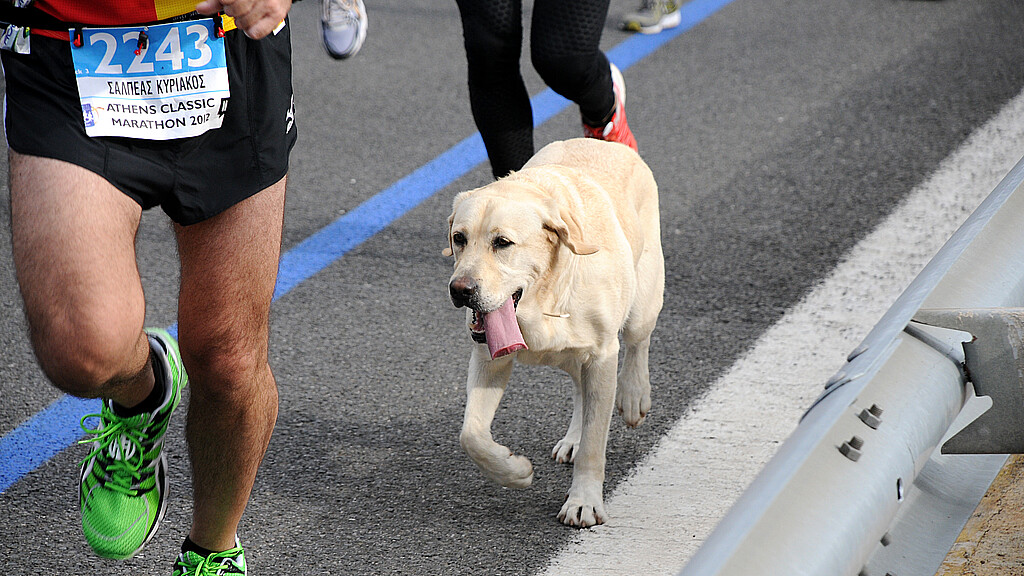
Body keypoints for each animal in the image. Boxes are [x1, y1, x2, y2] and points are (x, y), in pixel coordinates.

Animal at [444, 138, 667, 524]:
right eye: (459, 238)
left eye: (502, 243)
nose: (460, 290)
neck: (543, 299)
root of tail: (610, 143)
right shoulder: (490, 358)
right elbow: (471, 435)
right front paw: (514, 471)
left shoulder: (603, 354)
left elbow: (595, 442)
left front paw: (583, 502)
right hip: (572, 356)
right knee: (582, 391)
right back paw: (574, 437)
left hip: (642, 300)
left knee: (638, 343)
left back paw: (633, 396)